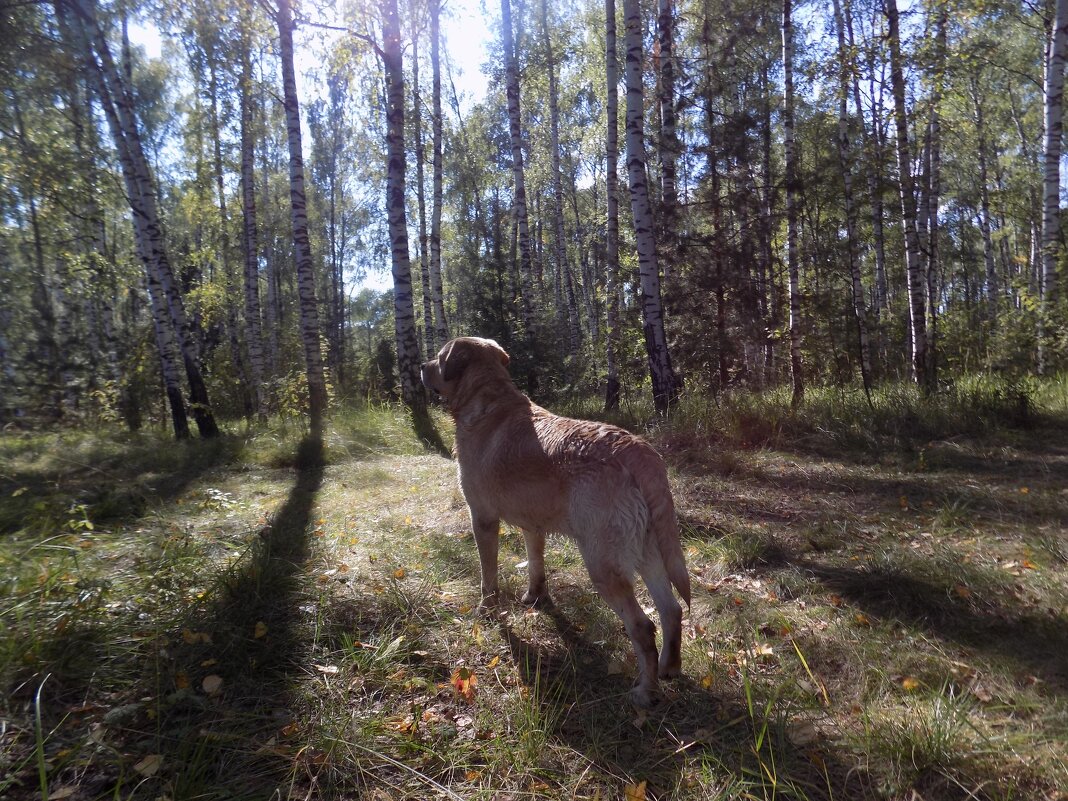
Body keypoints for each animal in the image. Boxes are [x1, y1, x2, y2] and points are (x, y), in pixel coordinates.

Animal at [420, 335, 696, 704]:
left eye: (438, 358)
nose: (421, 367)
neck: (488, 398)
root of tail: (637, 451)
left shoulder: (483, 518)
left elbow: (488, 576)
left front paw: (487, 610)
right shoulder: (532, 525)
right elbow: (536, 564)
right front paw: (535, 598)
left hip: (603, 564)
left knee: (643, 627)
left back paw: (644, 691)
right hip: (649, 551)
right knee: (671, 610)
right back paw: (669, 667)